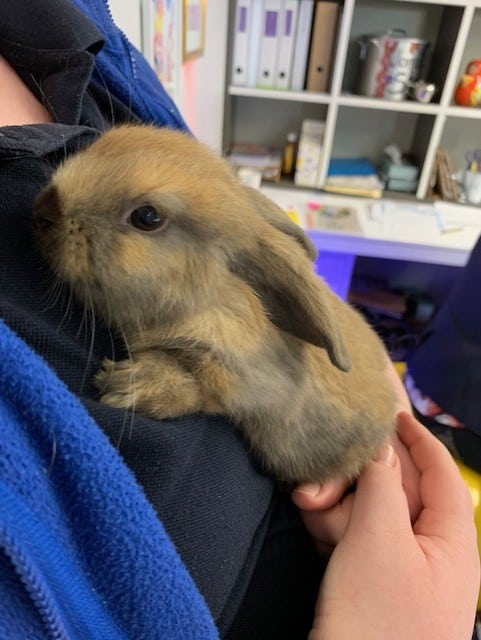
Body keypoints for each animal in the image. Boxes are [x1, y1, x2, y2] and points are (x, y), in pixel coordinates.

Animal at [32, 124, 394, 484]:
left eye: (147, 216)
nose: (43, 210)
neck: (208, 298)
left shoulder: (250, 381)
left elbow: (204, 383)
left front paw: (128, 386)